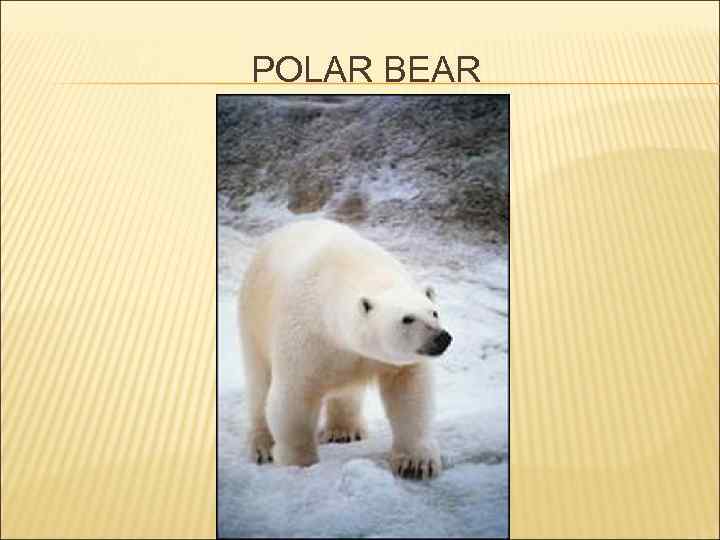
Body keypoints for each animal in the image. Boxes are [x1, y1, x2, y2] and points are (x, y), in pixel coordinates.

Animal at [238, 219, 452, 479]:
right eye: (407, 319)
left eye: (434, 312)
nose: (442, 338)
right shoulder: (305, 335)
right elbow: (293, 396)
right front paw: (299, 464)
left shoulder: (383, 358)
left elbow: (410, 393)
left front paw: (416, 463)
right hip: (253, 320)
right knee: (259, 383)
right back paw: (263, 446)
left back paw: (344, 431)